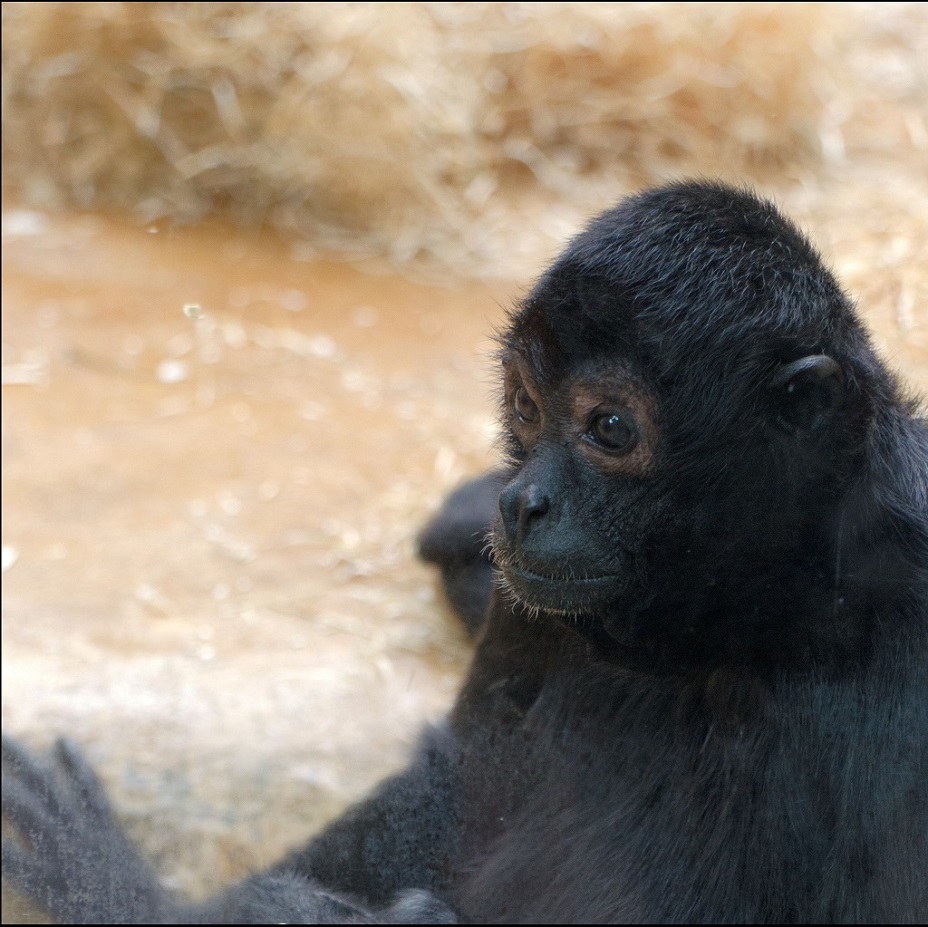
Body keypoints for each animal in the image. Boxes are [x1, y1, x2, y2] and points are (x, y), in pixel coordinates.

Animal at [3, 180, 927, 923]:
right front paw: (119, 885)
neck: (755, 613)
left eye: (609, 427)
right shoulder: (536, 605)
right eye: (525, 408)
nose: (521, 503)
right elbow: (464, 776)